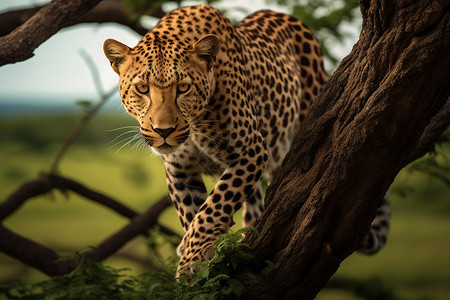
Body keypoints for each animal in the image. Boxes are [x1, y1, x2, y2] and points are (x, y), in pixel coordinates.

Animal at [103, 4, 390, 276]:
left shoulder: (251, 152)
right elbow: (192, 210)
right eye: (142, 89)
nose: (163, 130)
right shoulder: (180, 170)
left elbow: (216, 203)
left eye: (183, 88)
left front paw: (193, 255)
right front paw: (197, 253)